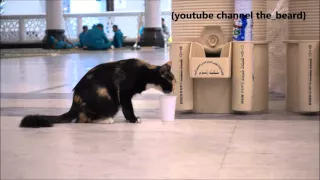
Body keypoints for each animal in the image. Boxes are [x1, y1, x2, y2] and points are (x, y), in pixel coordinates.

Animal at [20, 58, 175, 127]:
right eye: (171, 81)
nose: (173, 90)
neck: (146, 72)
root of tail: (74, 103)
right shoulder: (124, 93)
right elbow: (127, 107)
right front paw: (133, 119)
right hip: (107, 98)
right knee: (81, 119)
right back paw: (106, 120)